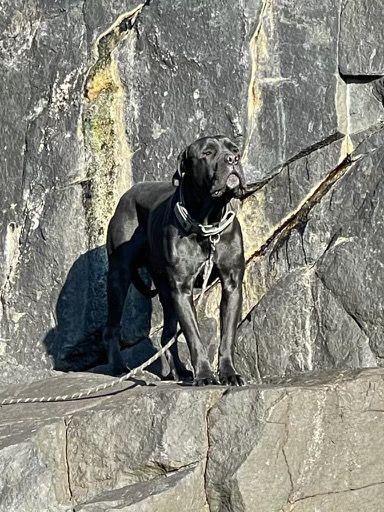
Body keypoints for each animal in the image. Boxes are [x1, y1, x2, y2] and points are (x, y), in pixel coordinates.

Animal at [103, 135, 262, 384]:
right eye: (207, 153)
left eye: (235, 149)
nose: (233, 159)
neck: (208, 221)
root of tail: (126, 195)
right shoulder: (182, 289)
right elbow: (194, 336)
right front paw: (205, 375)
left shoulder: (232, 285)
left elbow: (227, 335)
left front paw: (228, 373)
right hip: (120, 276)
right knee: (112, 328)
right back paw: (119, 367)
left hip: (165, 290)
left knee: (167, 334)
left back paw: (180, 371)